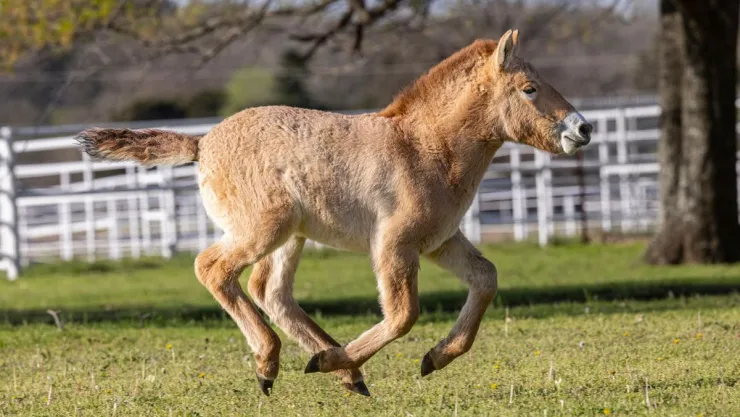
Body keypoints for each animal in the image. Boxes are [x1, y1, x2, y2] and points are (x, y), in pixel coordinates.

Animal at [76, 29, 592, 397]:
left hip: (292, 237)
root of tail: (202, 145)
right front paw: (344, 361)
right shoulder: (394, 245)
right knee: (214, 269)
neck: (425, 147)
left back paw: (341, 372)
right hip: (264, 229)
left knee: (271, 292)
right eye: (529, 89)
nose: (583, 129)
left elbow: (485, 279)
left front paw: (435, 358)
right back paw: (278, 362)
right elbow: (403, 314)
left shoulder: (440, 241)